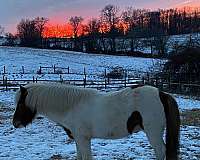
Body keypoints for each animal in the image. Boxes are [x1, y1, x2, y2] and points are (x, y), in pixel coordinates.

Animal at [12, 83, 181, 159]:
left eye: (20, 104)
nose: (15, 123)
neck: (71, 106)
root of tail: (162, 93)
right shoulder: (78, 139)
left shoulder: (83, 139)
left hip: (153, 133)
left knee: (161, 151)